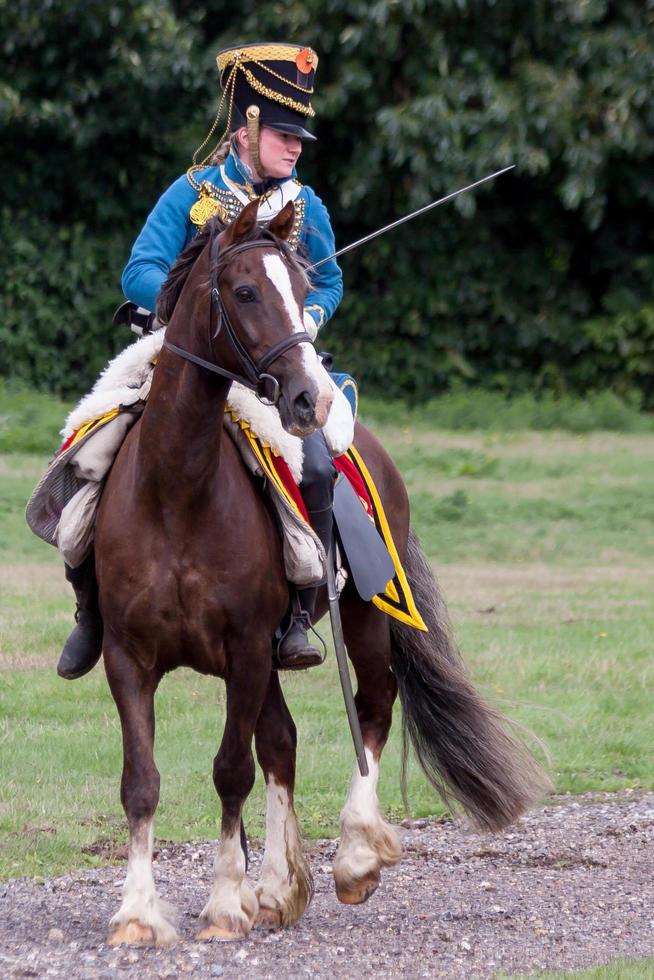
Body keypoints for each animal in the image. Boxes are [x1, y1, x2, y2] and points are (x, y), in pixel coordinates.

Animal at [95, 201, 552, 948]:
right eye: (245, 292)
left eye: (301, 287)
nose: (310, 396)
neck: (177, 490)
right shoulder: (128, 656)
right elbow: (143, 779)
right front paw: (137, 913)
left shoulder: (246, 650)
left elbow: (231, 769)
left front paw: (224, 905)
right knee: (282, 741)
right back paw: (279, 888)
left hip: (360, 621)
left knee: (373, 705)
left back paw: (355, 855)